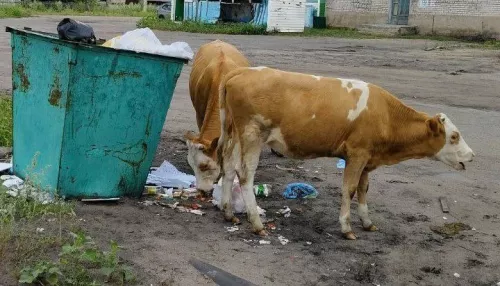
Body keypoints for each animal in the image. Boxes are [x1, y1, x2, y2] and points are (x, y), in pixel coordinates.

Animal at [205, 66, 474, 239]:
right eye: (454, 136)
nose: (471, 155)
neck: (387, 116)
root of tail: (244, 71)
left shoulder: (367, 158)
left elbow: (364, 189)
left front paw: (367, 222)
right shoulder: (357, 154)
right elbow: (350, 190)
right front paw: (347, 228)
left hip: (235, 133)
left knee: (229, 168)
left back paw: (228, 212)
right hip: (252, 135)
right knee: (245, 175)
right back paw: (256, 223)